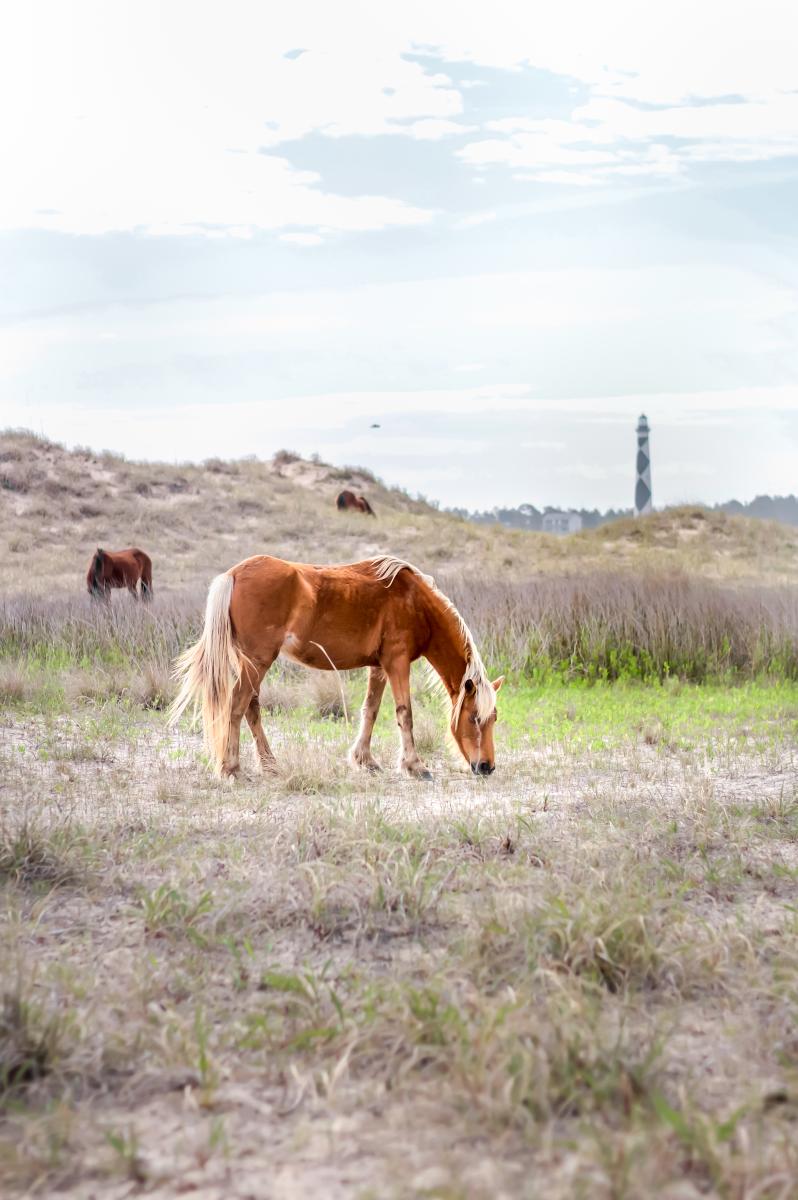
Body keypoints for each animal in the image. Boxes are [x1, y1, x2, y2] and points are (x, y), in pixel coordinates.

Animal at [170, 554, 501, 782]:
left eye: (493, 719)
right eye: (474, 718)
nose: (486, 767)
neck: (415, 601)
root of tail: (234, 574)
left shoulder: (379, 667)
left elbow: (371, 711)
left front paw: (364, 760)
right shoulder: (397, 663)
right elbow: (405, 714)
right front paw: (415, 766)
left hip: (252, 664)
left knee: (251, 708)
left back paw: (270, 765)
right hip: (258, 662)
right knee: (237, 706)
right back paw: (232, 769)